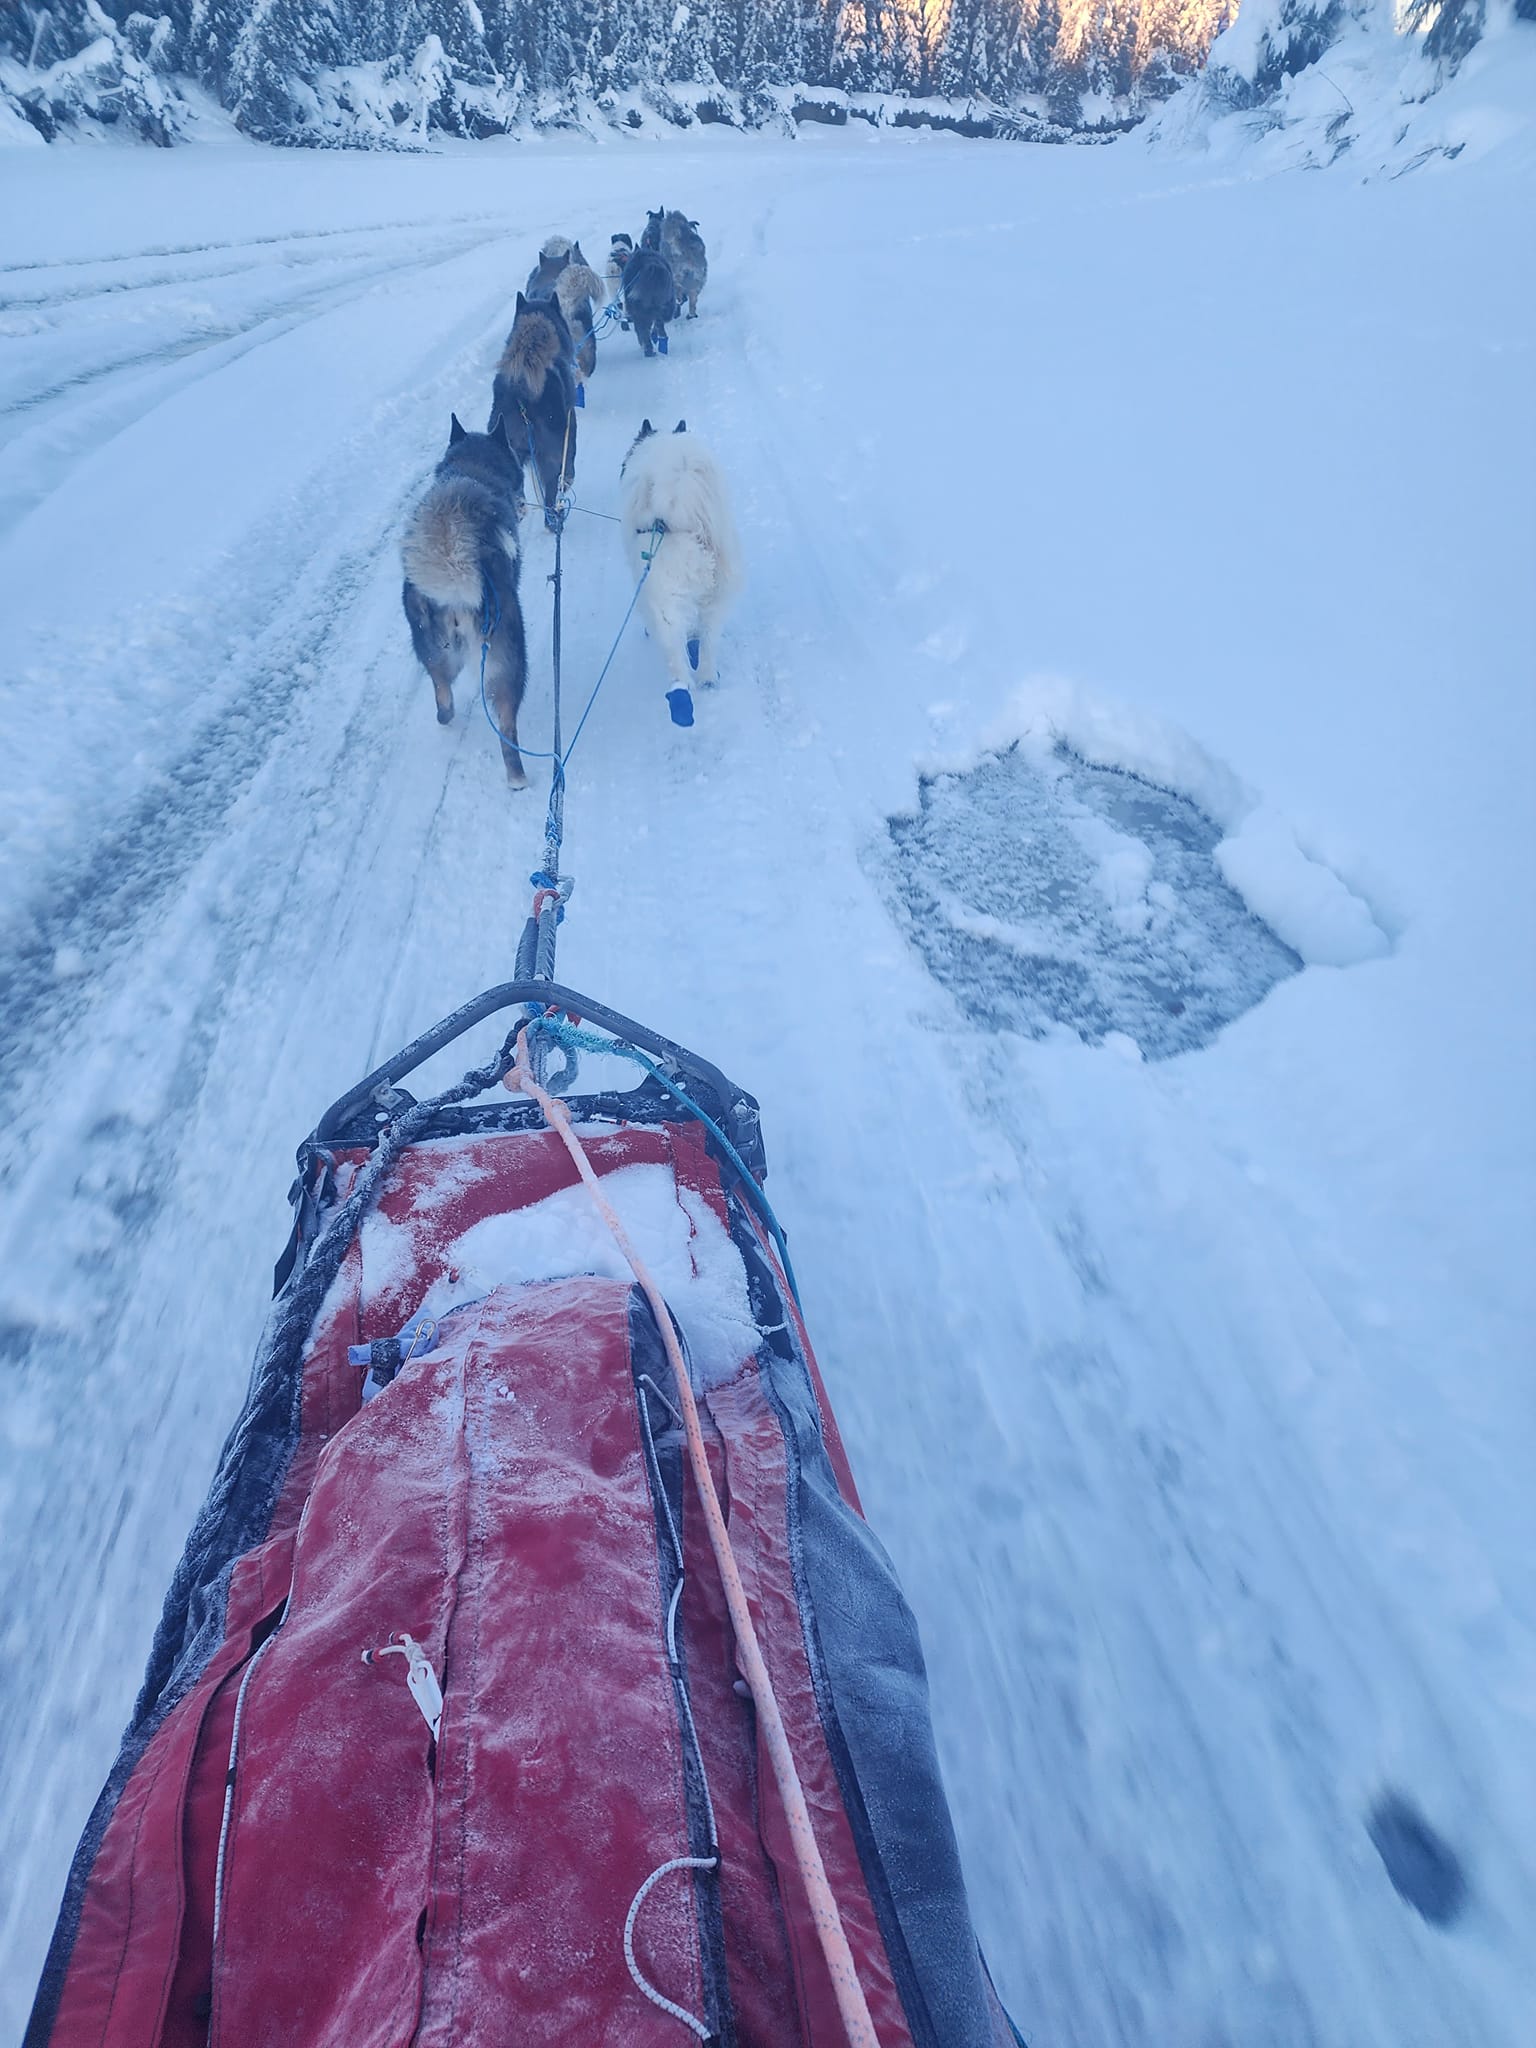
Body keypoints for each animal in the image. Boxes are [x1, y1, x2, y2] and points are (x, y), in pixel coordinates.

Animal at [403, 417, 528, 790]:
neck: (472, 469)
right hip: (510, 660)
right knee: (507, 727)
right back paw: (517, 777)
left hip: (432, 650)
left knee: (443, 697)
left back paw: (445, 714)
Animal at [626, 419, 745, 700]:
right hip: (717, 598)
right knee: (708, 643)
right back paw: (707, 678)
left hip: (668, 607)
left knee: (677, 659)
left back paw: (680, 691)